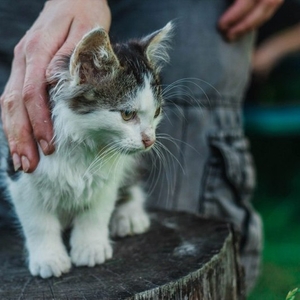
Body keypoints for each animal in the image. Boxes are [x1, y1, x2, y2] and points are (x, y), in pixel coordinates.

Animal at [0, 22, 172, 278]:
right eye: (127, 114)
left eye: (157, 112)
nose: (150, 140)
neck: (85, 143)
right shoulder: (20, 161)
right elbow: (37, 219)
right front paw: (48, 257)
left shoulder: (110, 171)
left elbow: (97, 208)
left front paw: (90, 247)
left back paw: (130, 214)